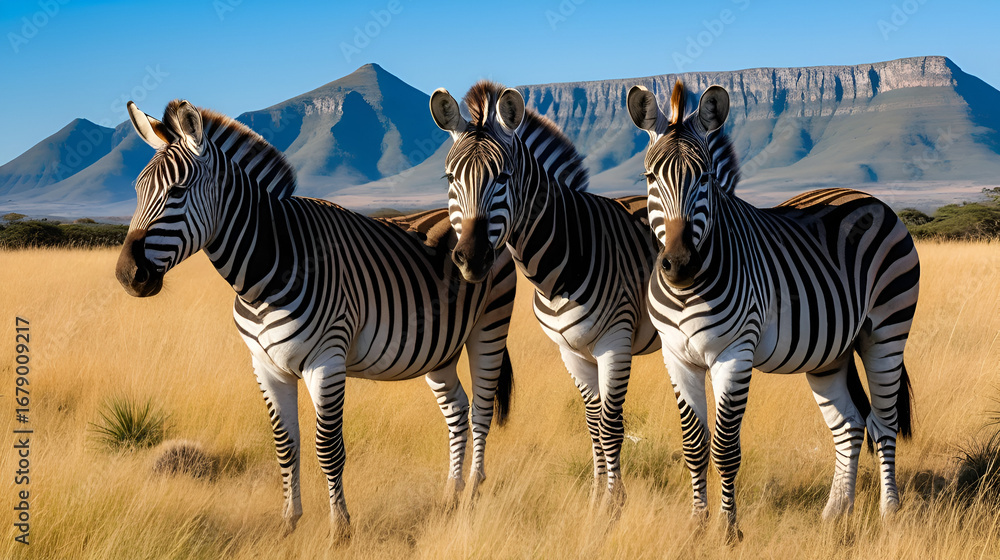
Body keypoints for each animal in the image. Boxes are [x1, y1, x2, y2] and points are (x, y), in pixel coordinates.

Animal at [115, 99, 518, 539]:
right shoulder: (266, 366)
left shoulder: (326, 361)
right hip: (439, 347)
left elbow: (328, 448)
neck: (265, 270)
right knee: (457, 410)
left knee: (480, 409)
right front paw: (289, 523)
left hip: (489, 326)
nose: (127, 274)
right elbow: (285, 444)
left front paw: (339, 530)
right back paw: (450, 494)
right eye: (136, 191)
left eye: (178, 191)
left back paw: (472, 493)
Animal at [429, 81, 661, 507]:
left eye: (503, 177)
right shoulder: (570, 350)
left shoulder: (615, 342)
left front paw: (615, 502)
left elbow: (611, 425)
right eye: (450, 177)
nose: (472, 258)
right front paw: (596, 499)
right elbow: (593, 425)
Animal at [626, 81, 919, 540]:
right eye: (650, 177)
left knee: (884, 424)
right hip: (831, 352)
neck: (689, 290)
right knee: (850, 427)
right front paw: (696, 525)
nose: (679, 264)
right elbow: (694, 445)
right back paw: (835, 513)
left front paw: (728, 531)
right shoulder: (676, 357)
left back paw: (890, 513)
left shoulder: (734, 354)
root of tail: (869, 198)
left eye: (706, 177)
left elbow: (725, 448)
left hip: (887, 331)